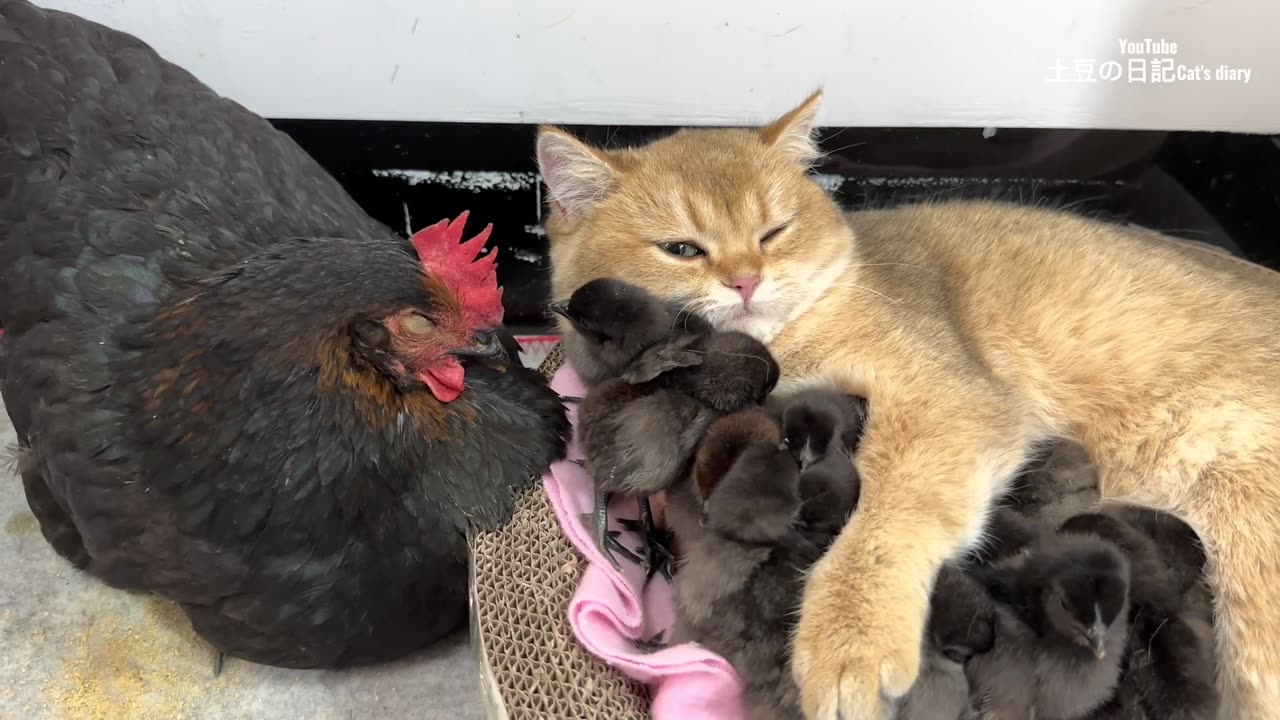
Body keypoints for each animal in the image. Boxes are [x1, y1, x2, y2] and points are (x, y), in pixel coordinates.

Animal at [535, 90, 1280, 717]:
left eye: (774, 232)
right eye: (681, 248)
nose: (746, 280)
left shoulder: (950, 404)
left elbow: (889, 516)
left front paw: (849, 636)